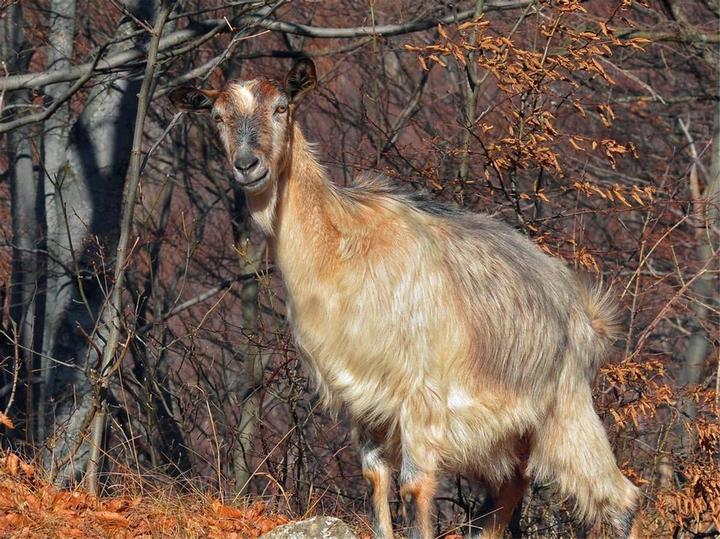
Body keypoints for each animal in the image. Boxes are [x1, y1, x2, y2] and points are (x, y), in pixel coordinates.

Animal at [172, 60, 640, 539]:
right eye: (217, 116)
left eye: (281, 107)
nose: (248, 165)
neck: (341, 247)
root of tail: (584, 310)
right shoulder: (364, 399)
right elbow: (375, 479)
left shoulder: (421, 398)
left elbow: (415, 487)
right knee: (507, 494)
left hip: (565, 407)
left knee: (619, 499)